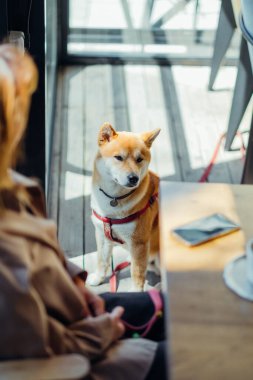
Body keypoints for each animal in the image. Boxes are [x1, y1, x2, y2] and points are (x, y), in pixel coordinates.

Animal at [87, 121, 160, 290]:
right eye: (118, 157)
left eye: (139, 159)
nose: (133, 178)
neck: (114, 199)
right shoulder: (102, 235)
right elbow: (102, 261)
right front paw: (98, 278)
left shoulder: (139, 243)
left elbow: (137, 273)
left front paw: (136, 292)